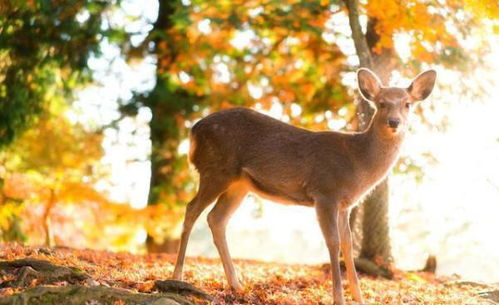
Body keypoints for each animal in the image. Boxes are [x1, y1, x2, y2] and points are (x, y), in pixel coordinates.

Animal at [173, 67, 438, 302]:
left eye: (407, 104)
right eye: (381, 103)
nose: (394, 122)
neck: (358, 163)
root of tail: (194, 130)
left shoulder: (345, 204)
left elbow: (348, 244)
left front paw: (359, 297)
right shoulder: (325, 192)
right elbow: (333, 242)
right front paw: (339, 298)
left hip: (239, 184)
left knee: (216, 218)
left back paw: (236, 285)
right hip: (215, 169)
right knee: (191, 209)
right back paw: (177, 276)